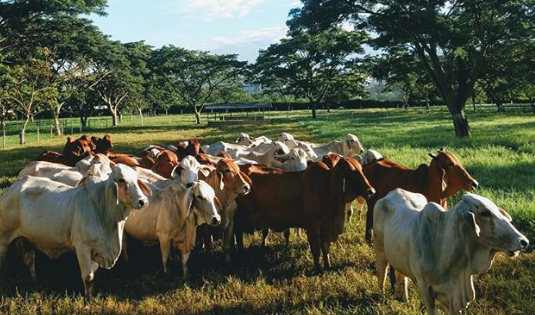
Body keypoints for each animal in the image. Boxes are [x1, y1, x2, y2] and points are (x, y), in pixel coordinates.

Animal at [0, 165, 153, 296]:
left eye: (136, 179)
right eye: (121, 180)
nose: (143, 201)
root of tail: (10, 189)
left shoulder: (96, 250)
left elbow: (93, 275)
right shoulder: (82, 248)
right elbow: (88, 277)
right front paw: (87, 299)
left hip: (26, 239)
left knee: (29, 261)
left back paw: (34, 281)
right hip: (3, 239)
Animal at [237, 158, 374, 272]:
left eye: (361, 169)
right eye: (350, 171)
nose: (371, 191)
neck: (327, 186)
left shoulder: (325, 225)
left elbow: (325, 247)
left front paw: (328, 266)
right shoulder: (312, 226)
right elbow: (316, 250)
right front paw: (317, 269)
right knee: (237, 236)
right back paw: (239, 253)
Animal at [374, 189, 528, 314]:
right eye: (485, 213)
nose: (523, 241)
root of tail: (390, 194)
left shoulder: (454, 295)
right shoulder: (424, 287)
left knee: (401, 276)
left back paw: (404, 299)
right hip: (380, 249)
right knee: (382, 274)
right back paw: (381, 298)